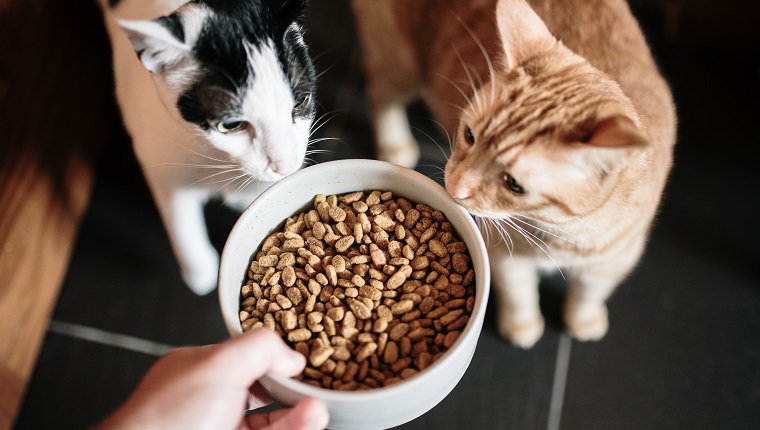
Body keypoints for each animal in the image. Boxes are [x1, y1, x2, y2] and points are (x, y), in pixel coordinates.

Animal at [99, 0, 316, 296]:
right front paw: (200, 273)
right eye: (230, 125)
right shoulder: (160, 161)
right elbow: (181, 222)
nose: (286, 165)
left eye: (302, 101)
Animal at [352, 0, 676, 348]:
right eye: (469, 135)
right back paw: (394, 143)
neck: (561, 233)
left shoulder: (615, 260)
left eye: (514, 184)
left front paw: (583, 320)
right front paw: (522, 327)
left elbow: (589, 294)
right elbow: (519, 293)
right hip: (399, 61)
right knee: (379, 91)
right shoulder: (502, 252)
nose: (454, 188)